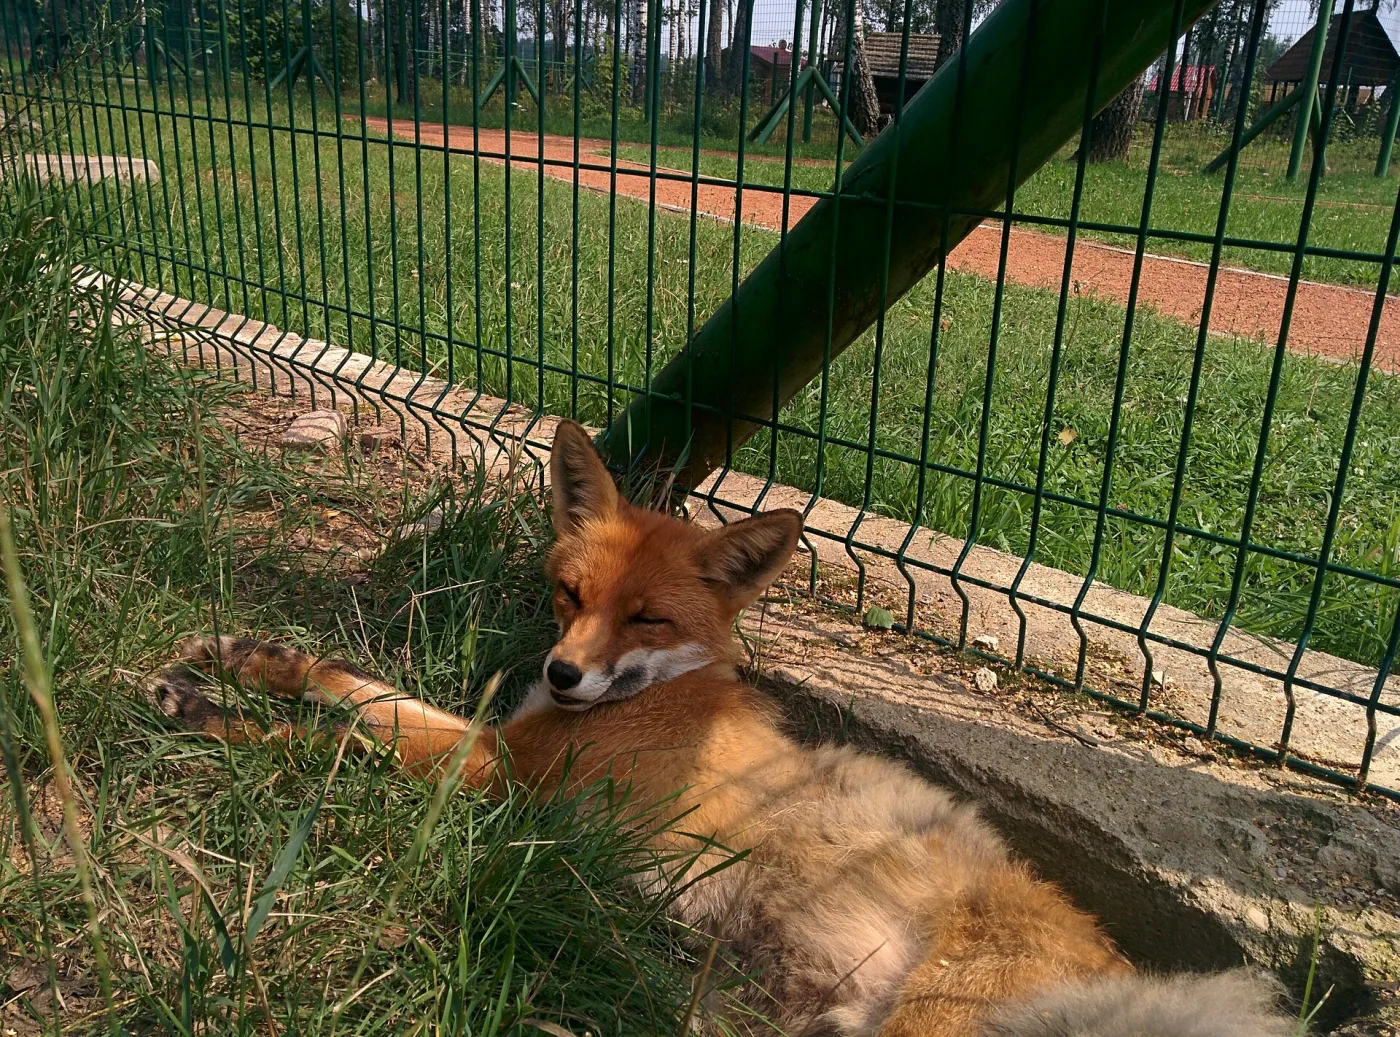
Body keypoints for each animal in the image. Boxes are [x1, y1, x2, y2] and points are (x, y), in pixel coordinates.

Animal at [157, 419, 1296, 1037]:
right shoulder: (504, 747)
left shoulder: (499, 774)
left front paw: (218, 715)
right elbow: (352, 684)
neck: (665, 690)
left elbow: (340, 740)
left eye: (647, 618)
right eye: (569, 593)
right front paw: (244, 660)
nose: (561, 672)